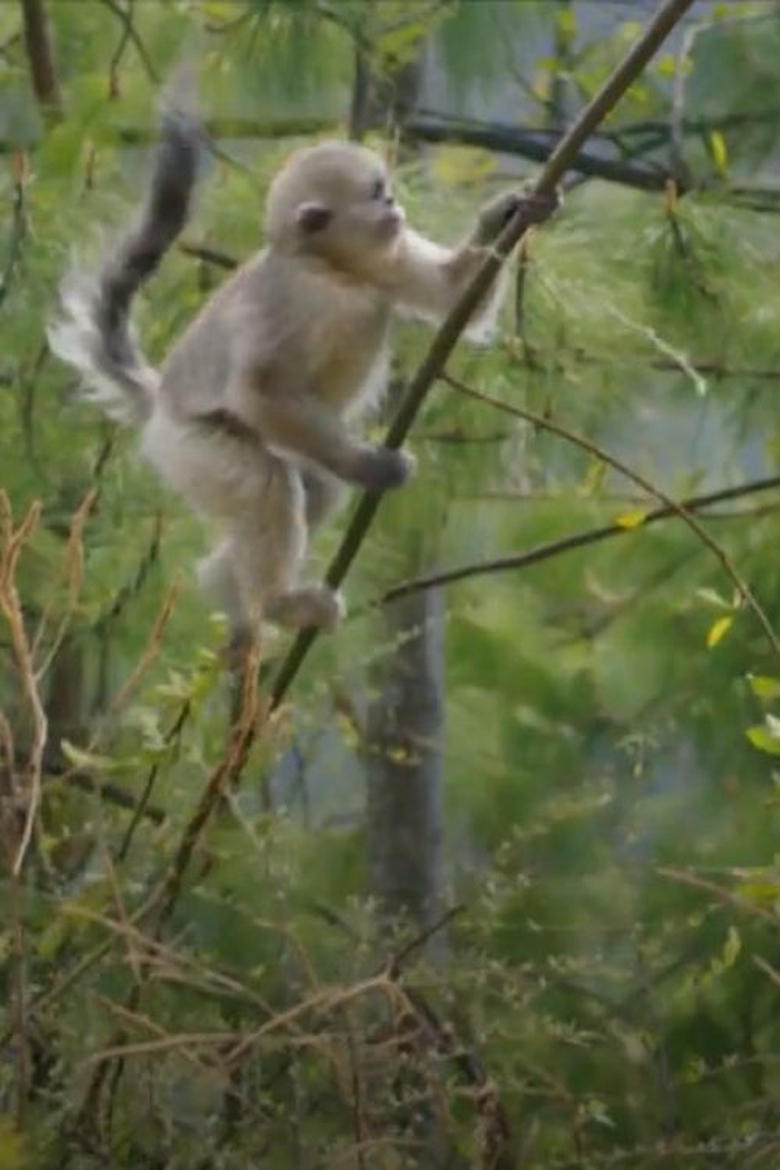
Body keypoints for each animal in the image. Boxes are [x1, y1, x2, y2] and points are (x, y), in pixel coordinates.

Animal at [48, 109, 558, 641]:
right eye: (376, 193)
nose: (395, 205)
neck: (331, 270)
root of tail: (160, 400)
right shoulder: (291, 298)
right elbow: (258, 389)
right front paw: (368, 467)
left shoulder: (382, 260)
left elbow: (453, 294)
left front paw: (511, 213)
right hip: (192, 446)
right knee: (268, 484)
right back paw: (277, 603)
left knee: (316, 487)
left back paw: (229, 586)